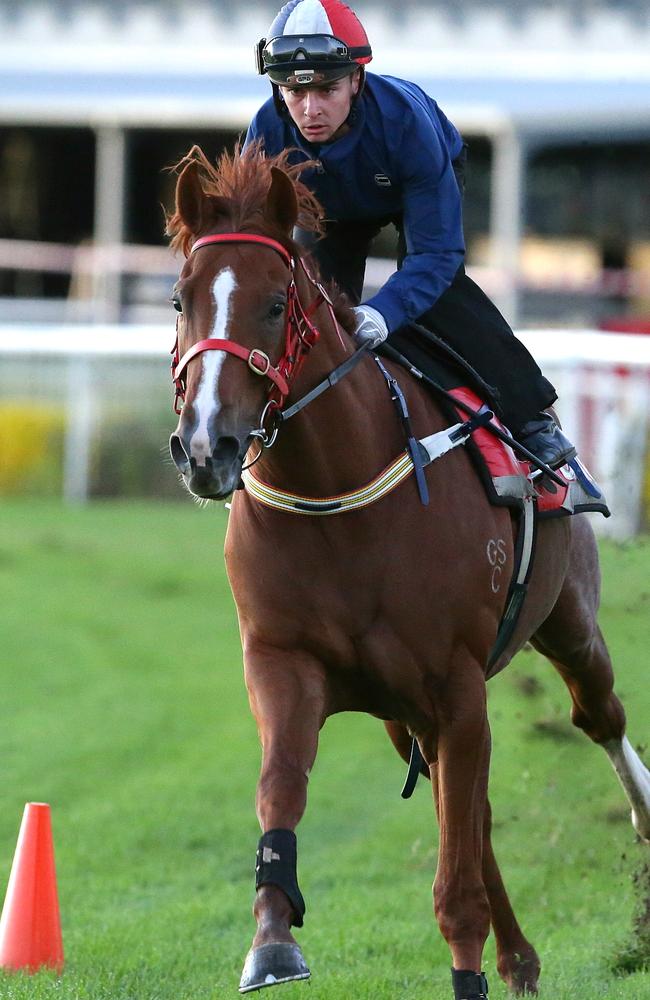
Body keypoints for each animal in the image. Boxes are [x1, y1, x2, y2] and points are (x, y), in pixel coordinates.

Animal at [167, 145, 648, 996]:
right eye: (181, 299)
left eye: (273, 305)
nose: (205, 448)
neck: (336, 496)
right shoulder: (285, 664)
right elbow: (282, 787)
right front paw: (272, 938)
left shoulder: (455, 683)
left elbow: (456, 872)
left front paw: (466, 968)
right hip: (404, 714)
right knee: (471, 808)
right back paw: (518, 959)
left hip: (565, 622)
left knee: (598, 715)